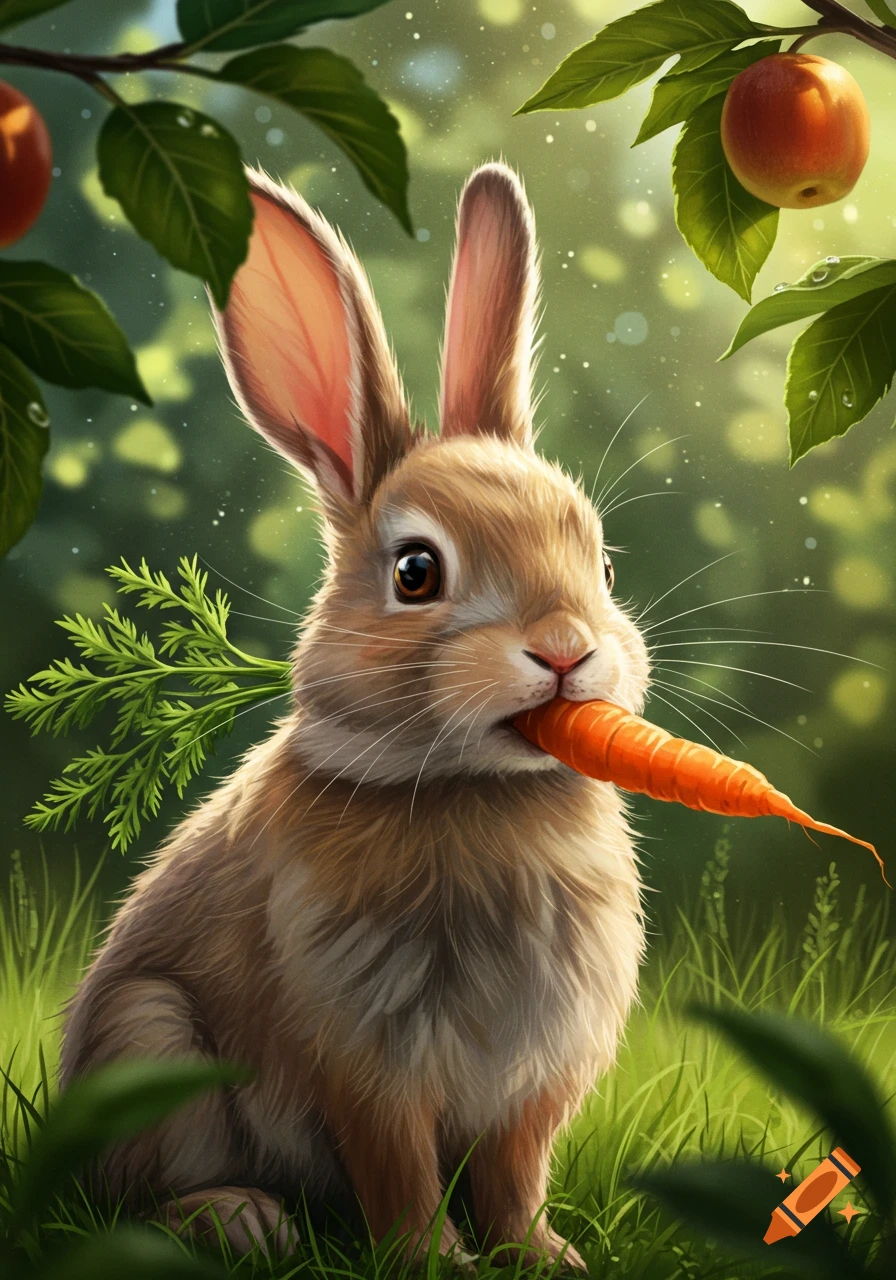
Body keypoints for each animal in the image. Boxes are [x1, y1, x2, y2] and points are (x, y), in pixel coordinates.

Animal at [60, 161, 649, 1268]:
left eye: (600, 564)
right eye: (416, 572)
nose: (565, 649)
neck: (472, 791)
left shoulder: (532, 1079)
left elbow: (516, 1174)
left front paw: (544, 1257)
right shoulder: (363, 1057)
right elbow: (399, 1171)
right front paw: (431, 1262)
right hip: (150, 1040)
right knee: (124, 1197)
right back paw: (241, 1220)